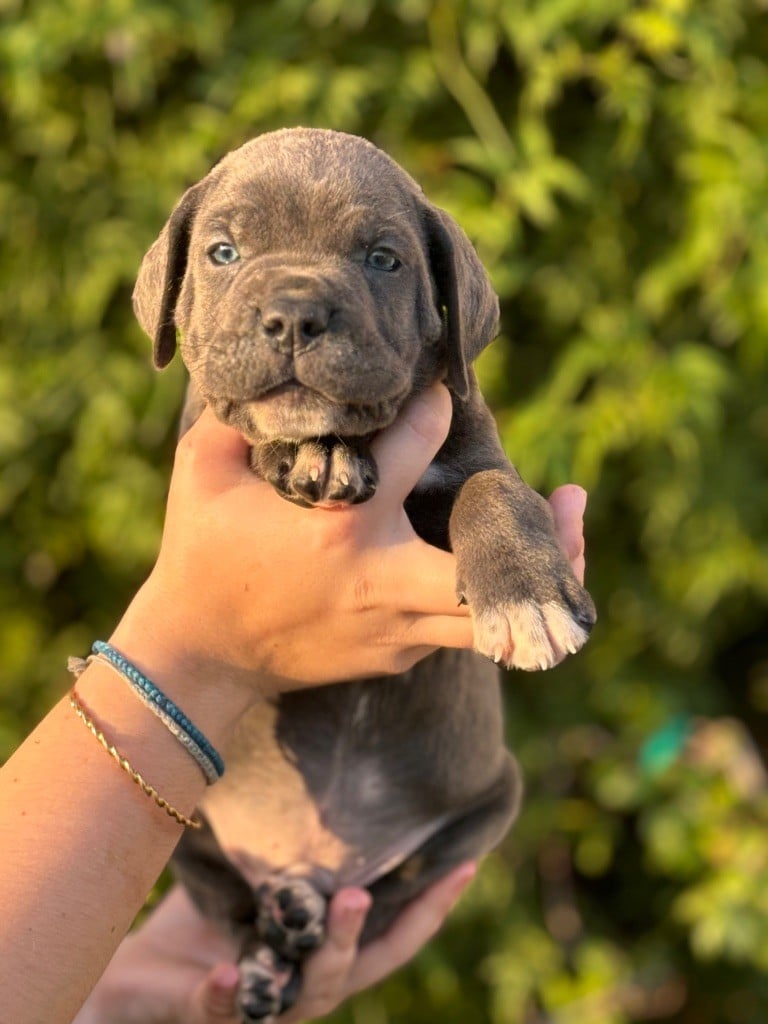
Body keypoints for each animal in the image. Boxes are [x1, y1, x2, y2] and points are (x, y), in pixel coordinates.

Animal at [135, 128, 598, 1024]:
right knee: (232, 904)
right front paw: (303, 454)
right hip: (185, 827)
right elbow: (255, 432)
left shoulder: (470, 445)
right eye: (223, 252)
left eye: (383, 259)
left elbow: (495, 491)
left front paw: (526, 597)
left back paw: (300, 917)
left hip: (487, 804)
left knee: (382, 897)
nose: (293, 315)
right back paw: (268, 953)